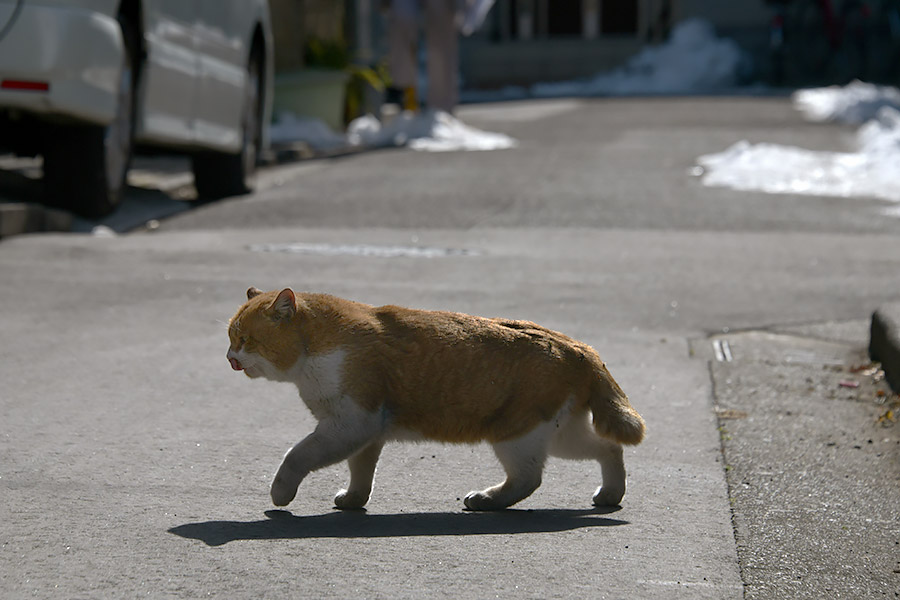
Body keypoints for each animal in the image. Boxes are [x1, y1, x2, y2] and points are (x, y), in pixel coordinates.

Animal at [229, 288, 644, 510]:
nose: (230, 358)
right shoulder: (366, 433)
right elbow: (361, 472)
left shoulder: (349, 425)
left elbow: (297, 455)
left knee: (528, 478)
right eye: (231, 338)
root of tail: (581, 348)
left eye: (246, 340)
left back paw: (486, 499)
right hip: (560, 433)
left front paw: (280, 492)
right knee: (609, 449)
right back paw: (610, 493)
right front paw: (352, 500)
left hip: (516, 434)